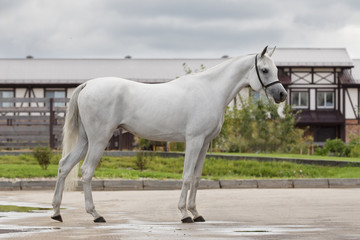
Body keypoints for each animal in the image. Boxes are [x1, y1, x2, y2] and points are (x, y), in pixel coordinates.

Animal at [50, 46, 286, 223]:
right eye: (264, 70)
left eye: (275, 69)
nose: (282, 94)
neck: (210, 90)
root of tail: (88, 84)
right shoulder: (194, 141)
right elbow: (187, 176)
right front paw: (184, 214)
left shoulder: (205, 144)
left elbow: (197, 178)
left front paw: (196, 213)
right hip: (99, 139)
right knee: (87, 171)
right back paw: (95, 214)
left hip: (85, 140)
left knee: (64, 166)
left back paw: (56, 213)